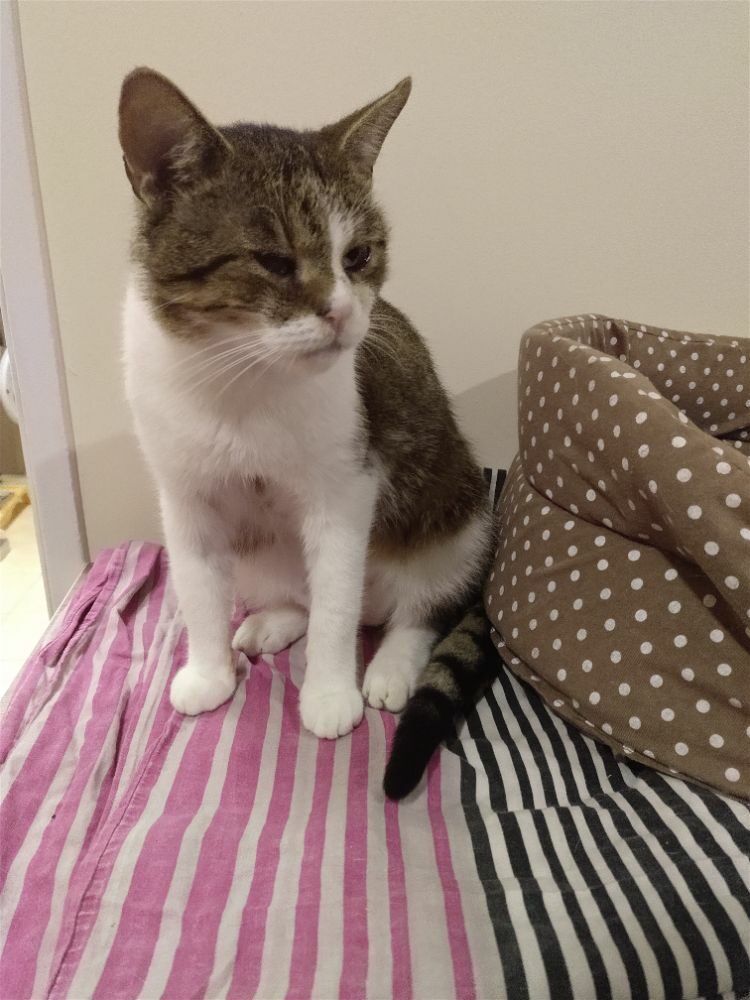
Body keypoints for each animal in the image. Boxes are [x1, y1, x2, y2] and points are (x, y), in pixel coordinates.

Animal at [119, 68, 499, 799]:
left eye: (359, 255)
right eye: (272, 260)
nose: (344, 313)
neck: (241, 378)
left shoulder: (346, 485)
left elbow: (336, 602)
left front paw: (327, 694)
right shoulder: (184, 496)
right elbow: (197, 586)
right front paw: (208, 672)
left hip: (460, 515)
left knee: (419, 605)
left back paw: (392, 665)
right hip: (262, 555)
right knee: (298, 588)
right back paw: (271, 622)